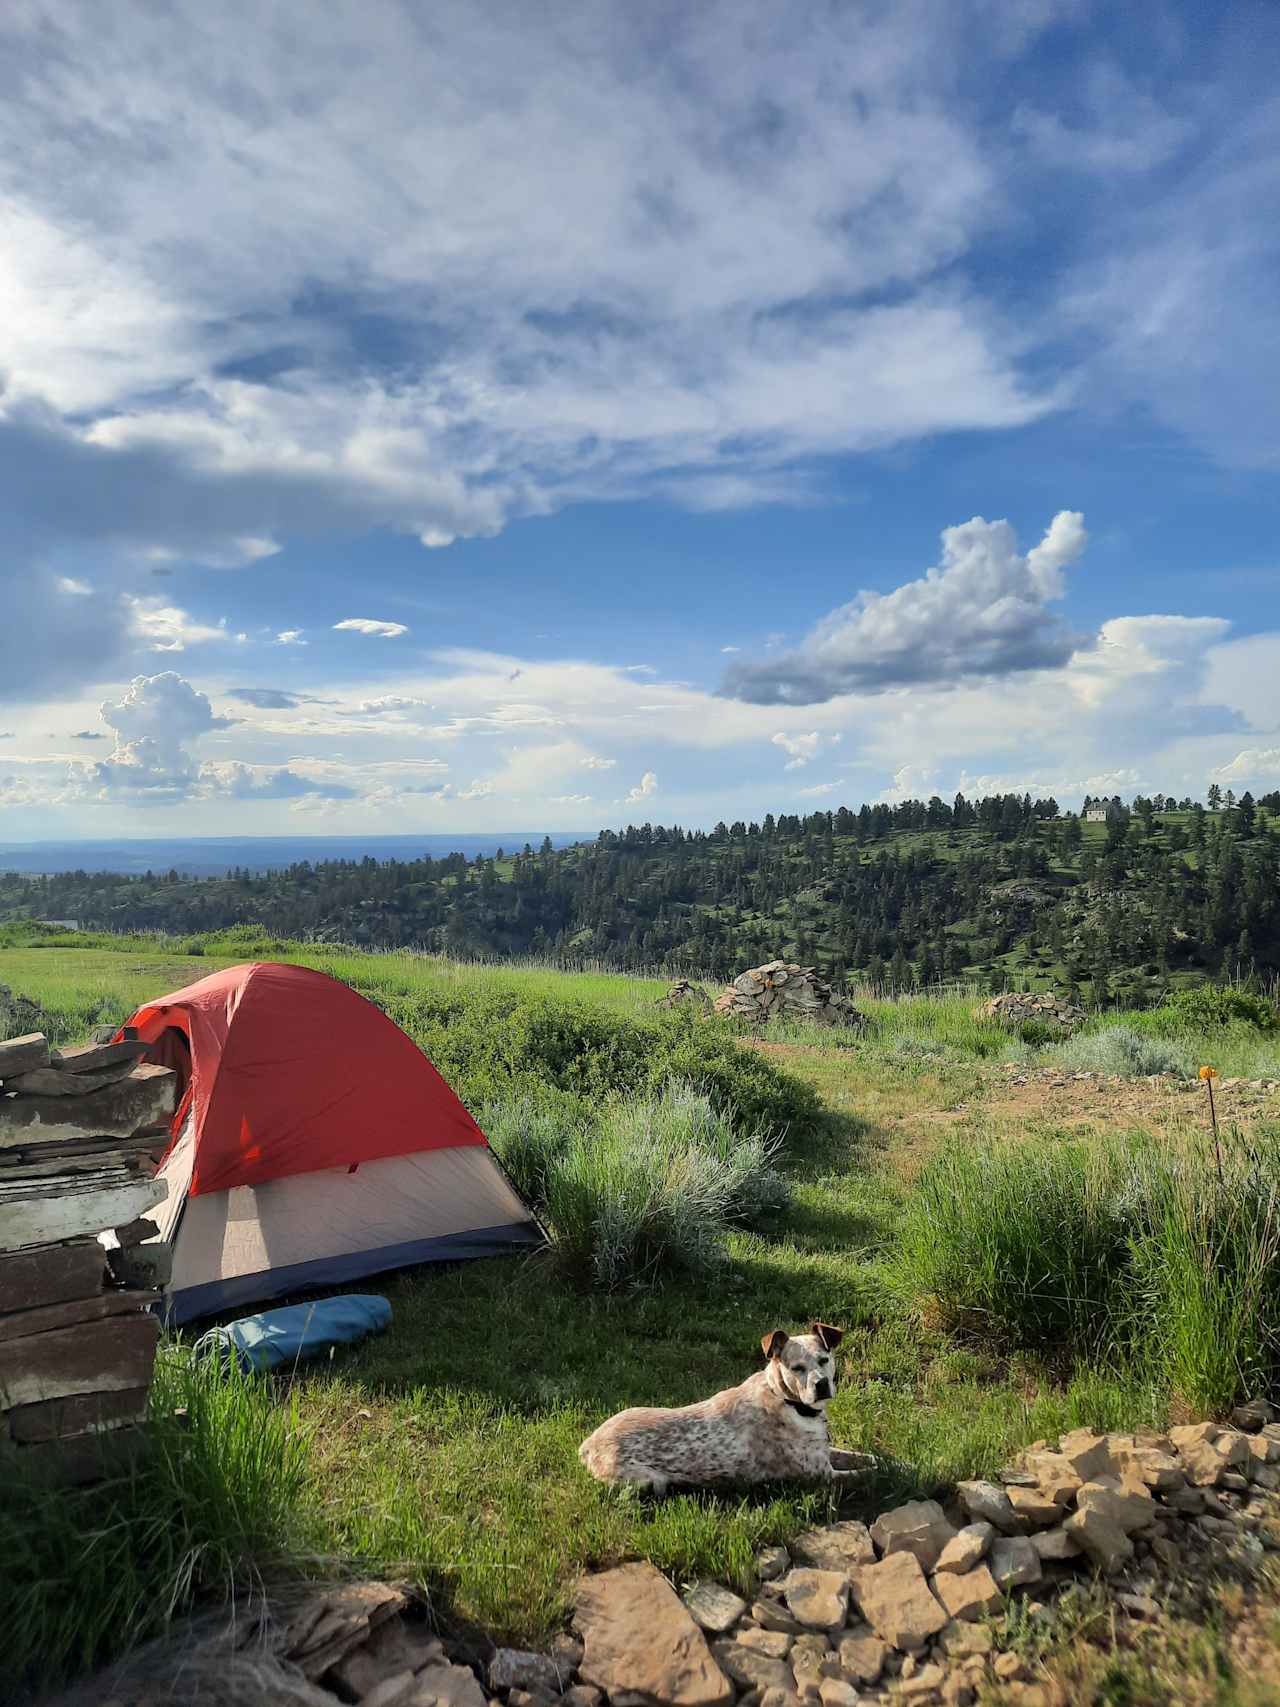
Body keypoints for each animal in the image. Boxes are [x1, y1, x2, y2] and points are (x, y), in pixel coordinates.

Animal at [583, 1317, 853, 1495]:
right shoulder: (823, 1475)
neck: (786, 1400)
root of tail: (586, 1445)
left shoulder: (825, 1453)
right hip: (649, 1481)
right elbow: (863, 1474)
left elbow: (858, 1456)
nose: (821, 1384)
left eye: (824, 1360)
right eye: (797, 1368)